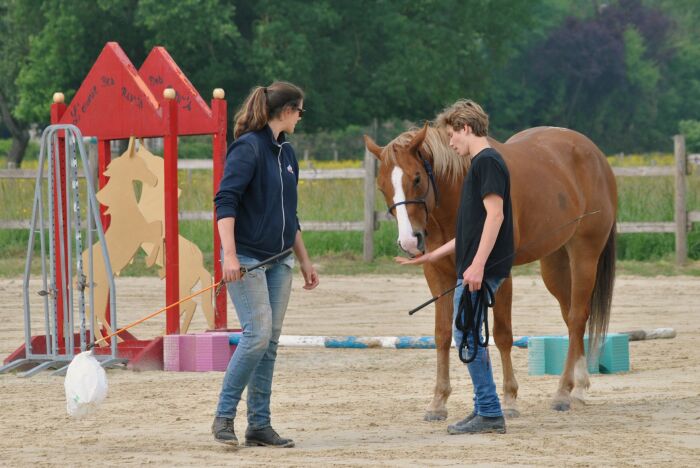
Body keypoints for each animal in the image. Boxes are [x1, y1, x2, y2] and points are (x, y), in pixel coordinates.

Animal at [364, 124, 616, 420]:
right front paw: (438, 402)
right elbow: (443, 334)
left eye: (416, 178)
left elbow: (503, 334)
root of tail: (594, 154)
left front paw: (509, 399)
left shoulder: (498, 275)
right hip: (554, 262)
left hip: (584, 254)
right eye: (381, 186)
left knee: (577, 317)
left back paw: (564, 392)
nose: (409, 242)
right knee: (571, 318)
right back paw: (579, 386)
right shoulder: (437, 274)